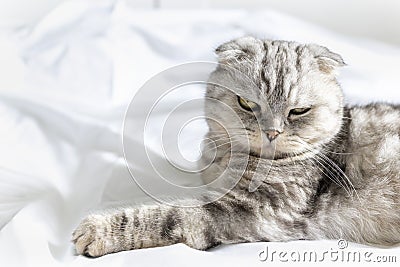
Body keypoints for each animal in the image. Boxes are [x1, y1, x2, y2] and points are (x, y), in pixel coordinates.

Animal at [72, 36, 400, 258]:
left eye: (298, 111)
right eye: (246, 103)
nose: (271, 132)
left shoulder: (256, 210)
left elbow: (164, 214)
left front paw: (97, 229)